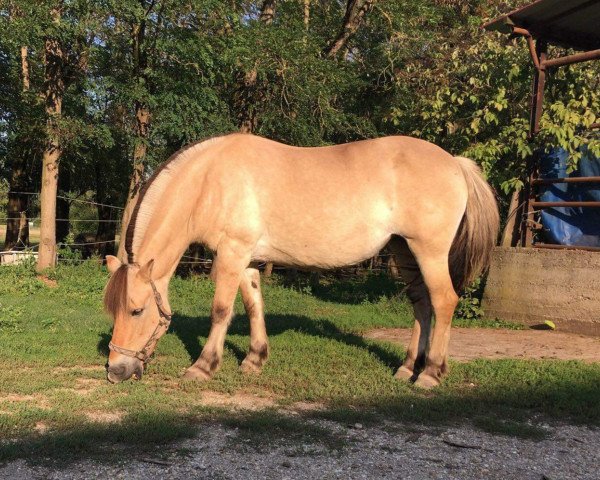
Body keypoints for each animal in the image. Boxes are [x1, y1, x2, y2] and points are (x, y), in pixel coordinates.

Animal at [102, 133, 496, 388]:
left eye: (136, 310)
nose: (115, 371)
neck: (209, 181)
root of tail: (455, 163)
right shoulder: (247, 258)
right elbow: (253, 306)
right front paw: (254, 360)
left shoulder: (231, 253)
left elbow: (221, 310)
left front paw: (203, 366)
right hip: (404, 251)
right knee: (422, 305)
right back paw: (406, 368)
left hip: (428, 251)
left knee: (443, 302)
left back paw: (429, 374)